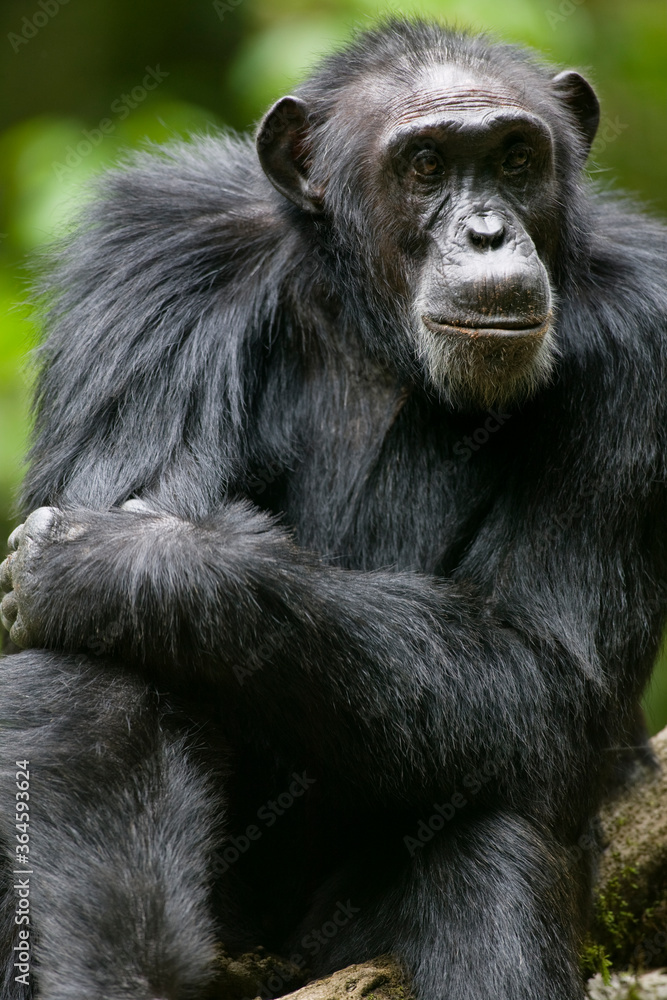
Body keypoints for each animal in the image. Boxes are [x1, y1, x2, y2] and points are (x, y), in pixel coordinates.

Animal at [1, 17, 667, 1000]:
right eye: (425, 165)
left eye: (514, 158)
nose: (486, 232)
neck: (363, 312)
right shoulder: (156, 268)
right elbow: (91, 684)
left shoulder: (643, 341)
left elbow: (550, 669)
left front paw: (126, 566)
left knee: (492, 823)